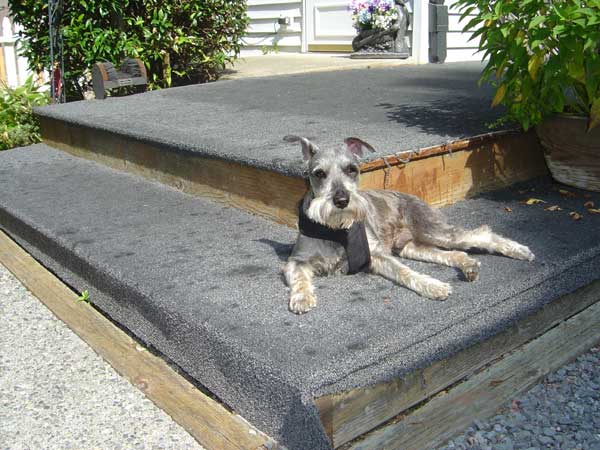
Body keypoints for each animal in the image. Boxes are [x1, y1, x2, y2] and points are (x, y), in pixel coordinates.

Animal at [284, 135, 536, 314]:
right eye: (319, 173)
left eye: (351, 169)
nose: (342, 200)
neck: (337, 230)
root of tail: (415, 198)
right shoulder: (297, 260)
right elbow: (298, 276)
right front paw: (302, 298)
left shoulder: (377, 255)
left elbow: (405, 272)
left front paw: (433, 286)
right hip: (412, 247)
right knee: (453, 253)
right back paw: (469, 266)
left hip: (436, 231)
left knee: (481, 234)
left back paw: (521, 251)